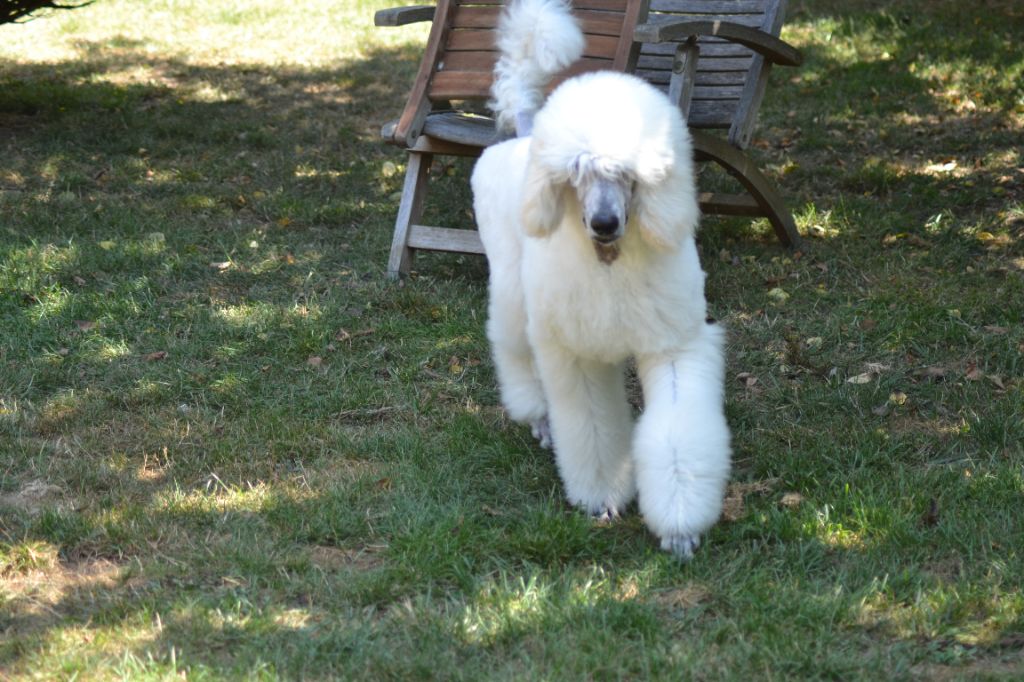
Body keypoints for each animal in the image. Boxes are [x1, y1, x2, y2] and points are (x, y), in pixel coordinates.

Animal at [471, 0, 731, 560]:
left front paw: (680, 526)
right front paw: (602, 500)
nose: (605, 223)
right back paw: (539, 418)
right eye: (577, 173)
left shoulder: (671, 345)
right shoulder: (576, 354)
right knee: (514, 351)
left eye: (628, 174)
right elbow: (589, 428)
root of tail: (524, 134)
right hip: (511, 290)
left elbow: (677, 433)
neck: (610, 263)